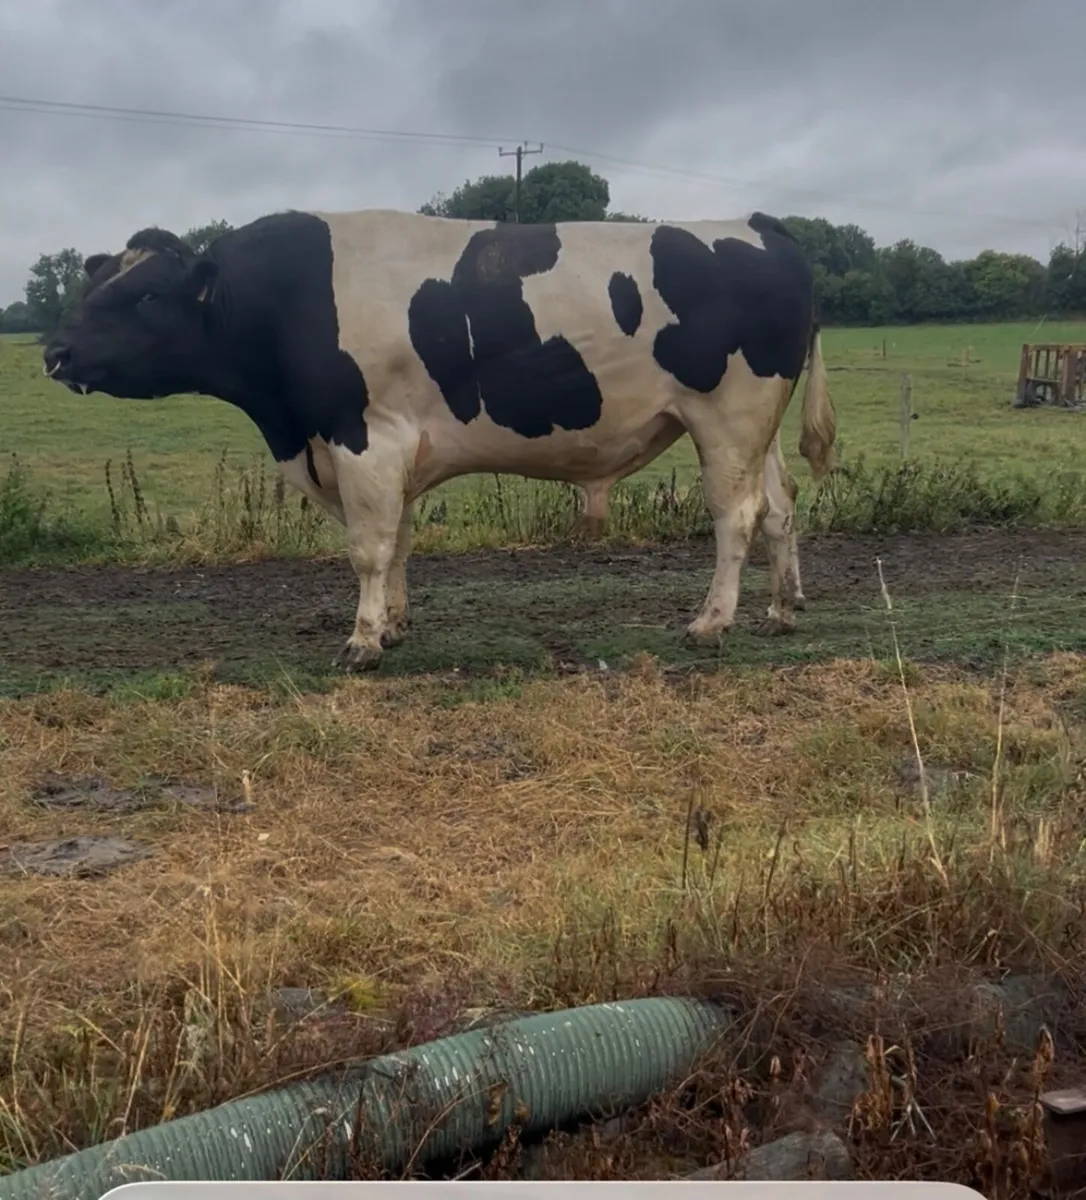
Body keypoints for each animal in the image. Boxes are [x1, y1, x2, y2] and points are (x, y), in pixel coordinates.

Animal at [42, 208, 835, 671]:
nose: (54, 351)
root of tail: (759, 223)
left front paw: (362, 641)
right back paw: (779, 610)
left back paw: (711, 622)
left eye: (145, 295)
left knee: (736, 517)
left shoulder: (363, 438)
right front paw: (393, 625)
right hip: (754, 427)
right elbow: (397, 543)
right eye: (92, 287)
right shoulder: (390, 450)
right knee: (781, 503)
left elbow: (368, 548)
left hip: (726, 414)